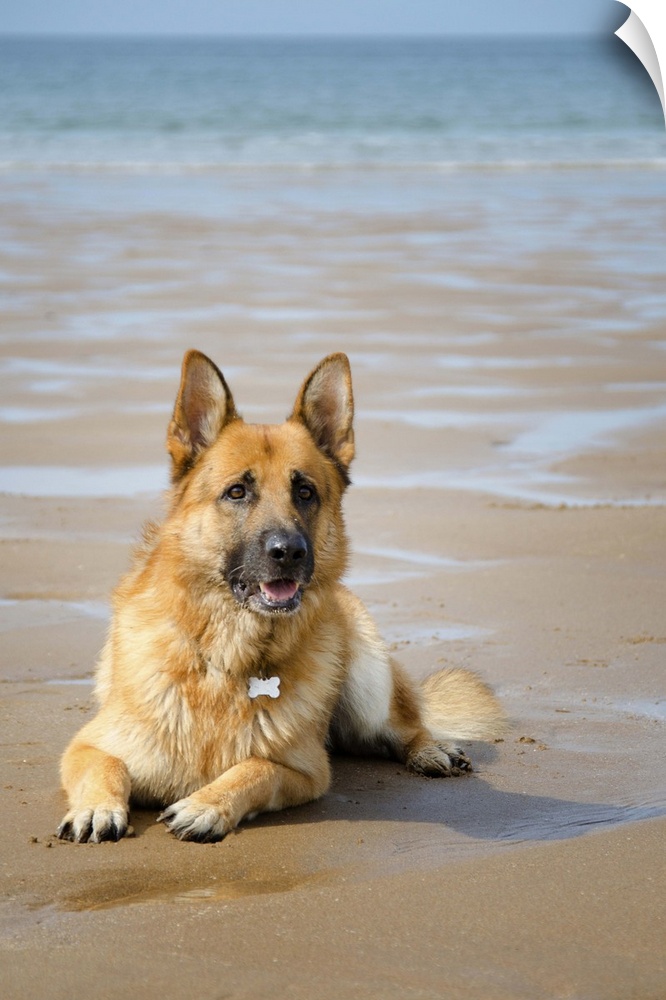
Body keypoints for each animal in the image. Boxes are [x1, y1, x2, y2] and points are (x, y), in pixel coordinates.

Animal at [57, 351, 506, 843]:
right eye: (237, 491)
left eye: (305, 491)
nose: (289, 552)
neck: (224, 660)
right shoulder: (87, 745)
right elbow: (106, 767)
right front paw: (97, 808)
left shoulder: (305, 772)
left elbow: (255, 768)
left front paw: (206, 805)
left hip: (370, 684)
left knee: (403, 726)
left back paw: (429, 749)